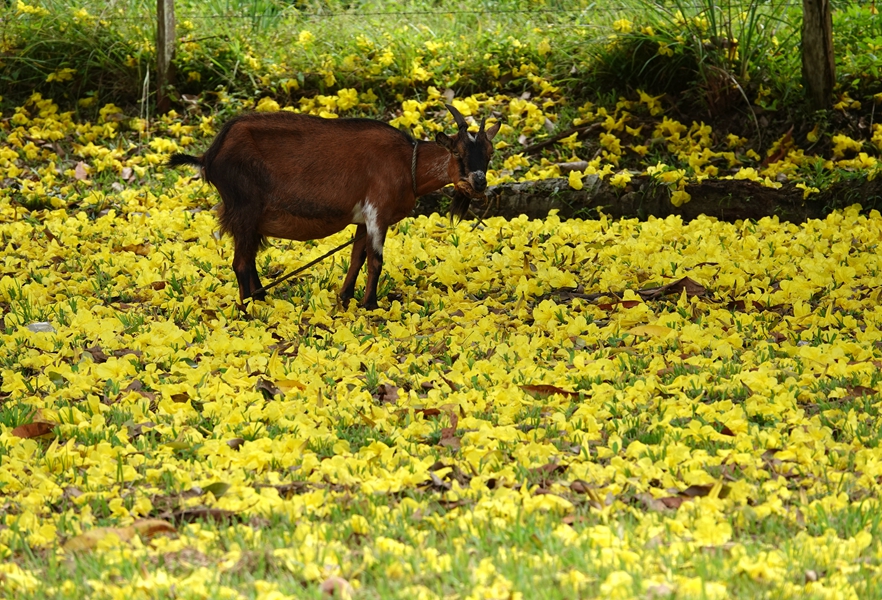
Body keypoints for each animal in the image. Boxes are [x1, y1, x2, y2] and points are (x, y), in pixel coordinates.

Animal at [165, 104, 496, 310]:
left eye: (490, 153)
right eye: (458, 153)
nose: (478, 183)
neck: (406, 162)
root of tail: (209, 155)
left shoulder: (363, 219)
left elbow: (357, 258)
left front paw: (345, 297)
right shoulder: (378, 212)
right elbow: (376, 260)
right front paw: (370, 304)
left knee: (249, 258)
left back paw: (261, 298)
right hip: (243, 206)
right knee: (241, 263)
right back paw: (249, 308)